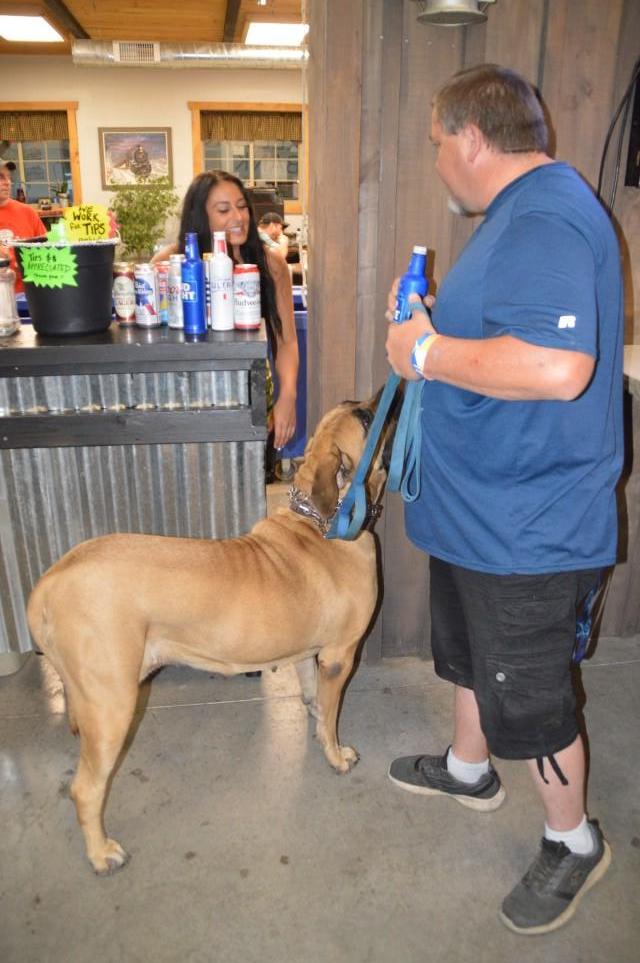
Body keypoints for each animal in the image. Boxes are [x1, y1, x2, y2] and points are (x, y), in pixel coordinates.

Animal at [27, 390, 397, 874]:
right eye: (366, 419)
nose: (384, 396)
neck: (320, 522)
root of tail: (49, 582)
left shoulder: (308, 654)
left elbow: (316, 701)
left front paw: (317, 722)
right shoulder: (339, 655)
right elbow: (332, 716)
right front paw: (335, 755)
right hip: (113, 705)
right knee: (85, 788)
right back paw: (101, 852)